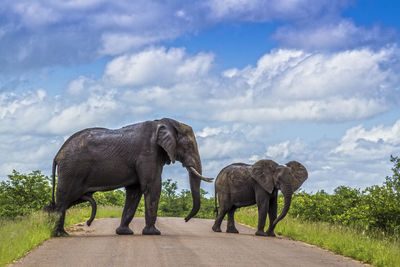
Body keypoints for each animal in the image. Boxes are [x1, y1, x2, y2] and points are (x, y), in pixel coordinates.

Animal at [47, 118, 212, 238]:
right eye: (189, 145)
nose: (185, 220)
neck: (164, 123)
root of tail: (57, 154)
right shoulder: (148, 153)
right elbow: (152, 187)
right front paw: (154, 233)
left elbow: (135, 191)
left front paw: (124, 233)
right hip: (72, 171)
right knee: (64, 201)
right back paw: (60, 234)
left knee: (65, 201)